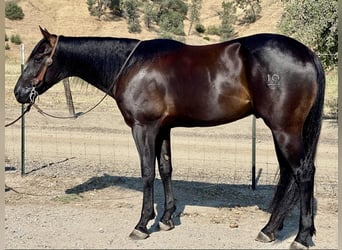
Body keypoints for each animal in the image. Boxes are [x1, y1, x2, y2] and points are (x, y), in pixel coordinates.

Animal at [14, 27, 324, 250]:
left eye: (40, 55)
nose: (19, 92)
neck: (132, 65)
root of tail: (308, 53)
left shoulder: (144, 128)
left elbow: (147, 172)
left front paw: (142, 225)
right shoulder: (163, 129)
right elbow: (165, 168)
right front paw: (166, 219)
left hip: (284, 129)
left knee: (303, 173)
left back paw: (300, 237)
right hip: (281, 130)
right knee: (288, 175)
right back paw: (270, 230)